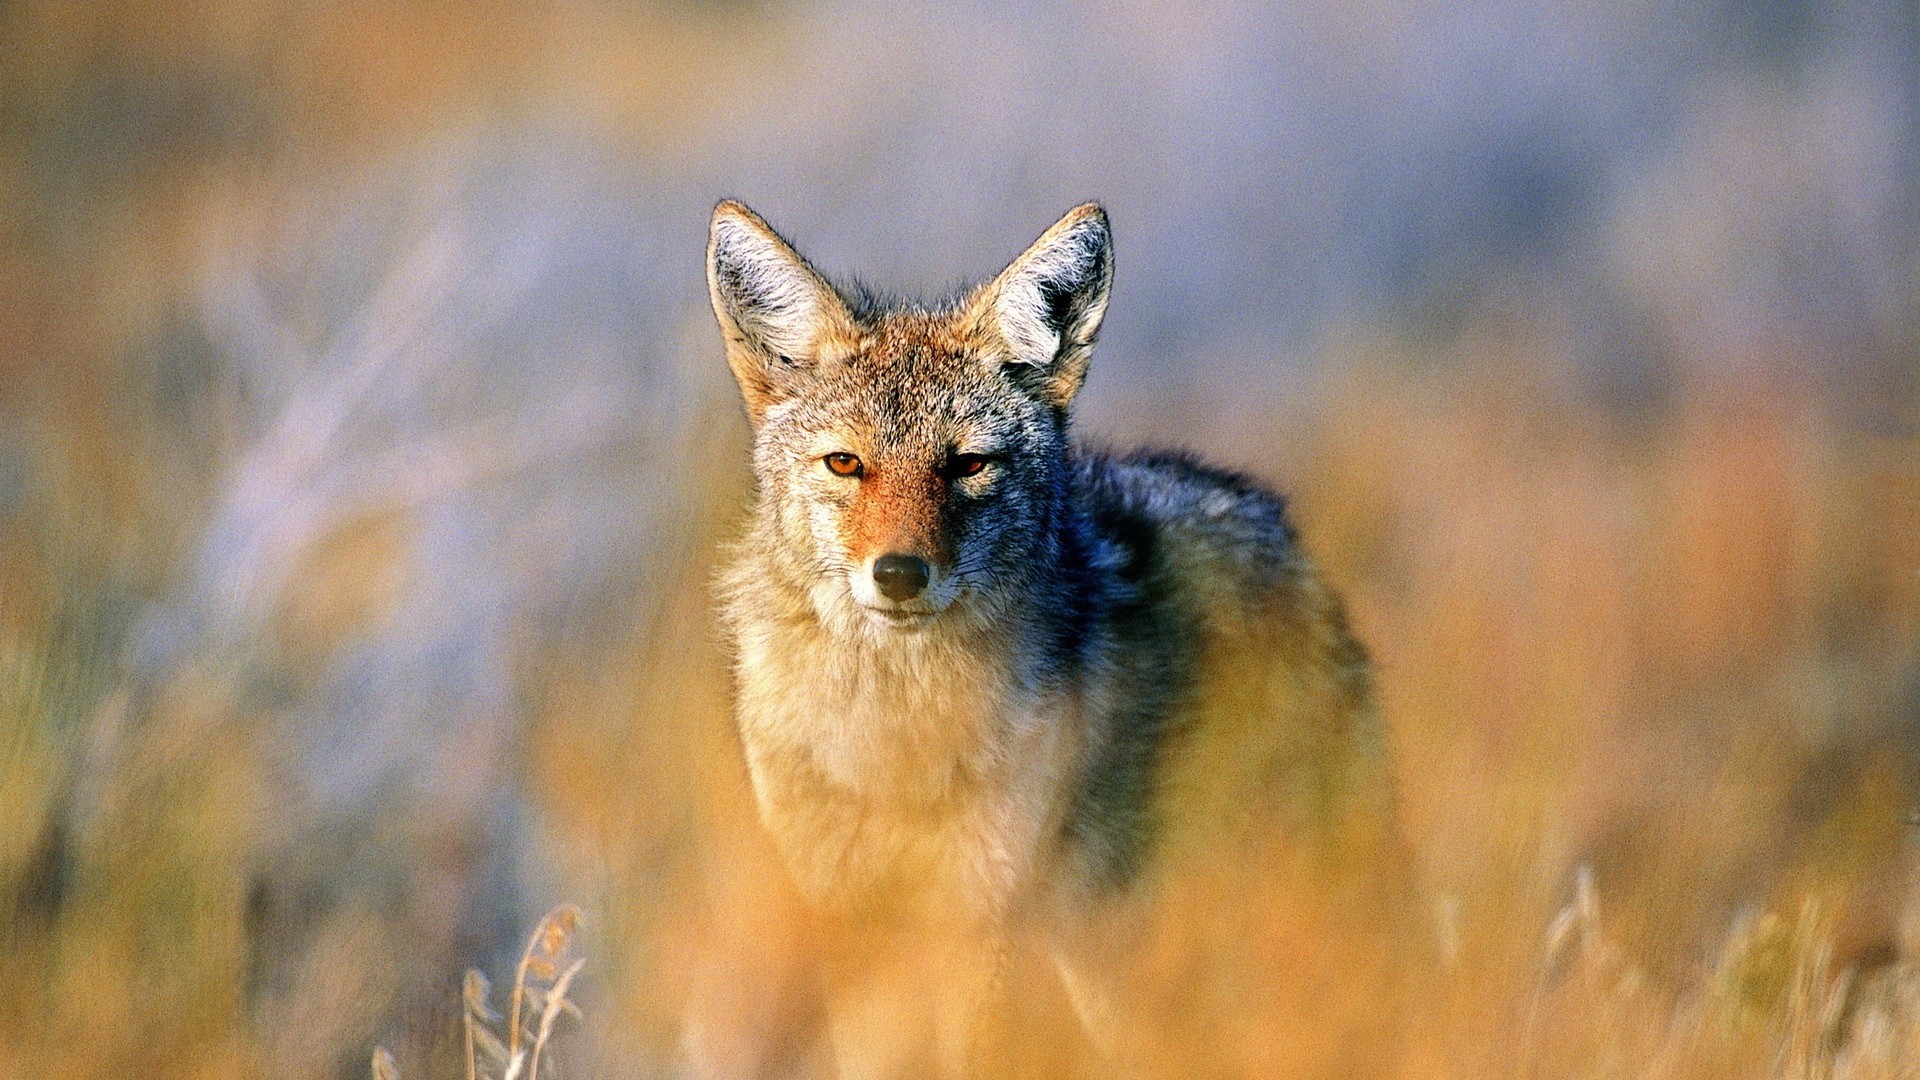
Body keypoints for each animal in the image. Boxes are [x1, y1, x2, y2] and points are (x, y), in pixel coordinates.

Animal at [706, 200, 1414, 1078]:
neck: (896, 739)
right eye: (846, 464)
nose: (899, 574)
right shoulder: (849, 912)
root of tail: (1279, 528)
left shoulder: (981, 915)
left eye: (967, 465)